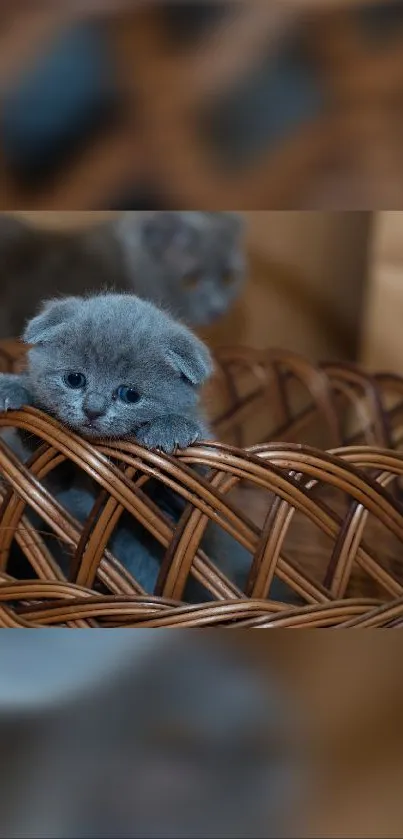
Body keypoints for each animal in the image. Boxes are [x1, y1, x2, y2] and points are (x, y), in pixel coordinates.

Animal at [0, 296, 296, 604]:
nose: (93, 409)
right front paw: (14, 386)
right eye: (74, 379)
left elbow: (192, 485)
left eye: (130, 394)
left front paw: (170, 428)